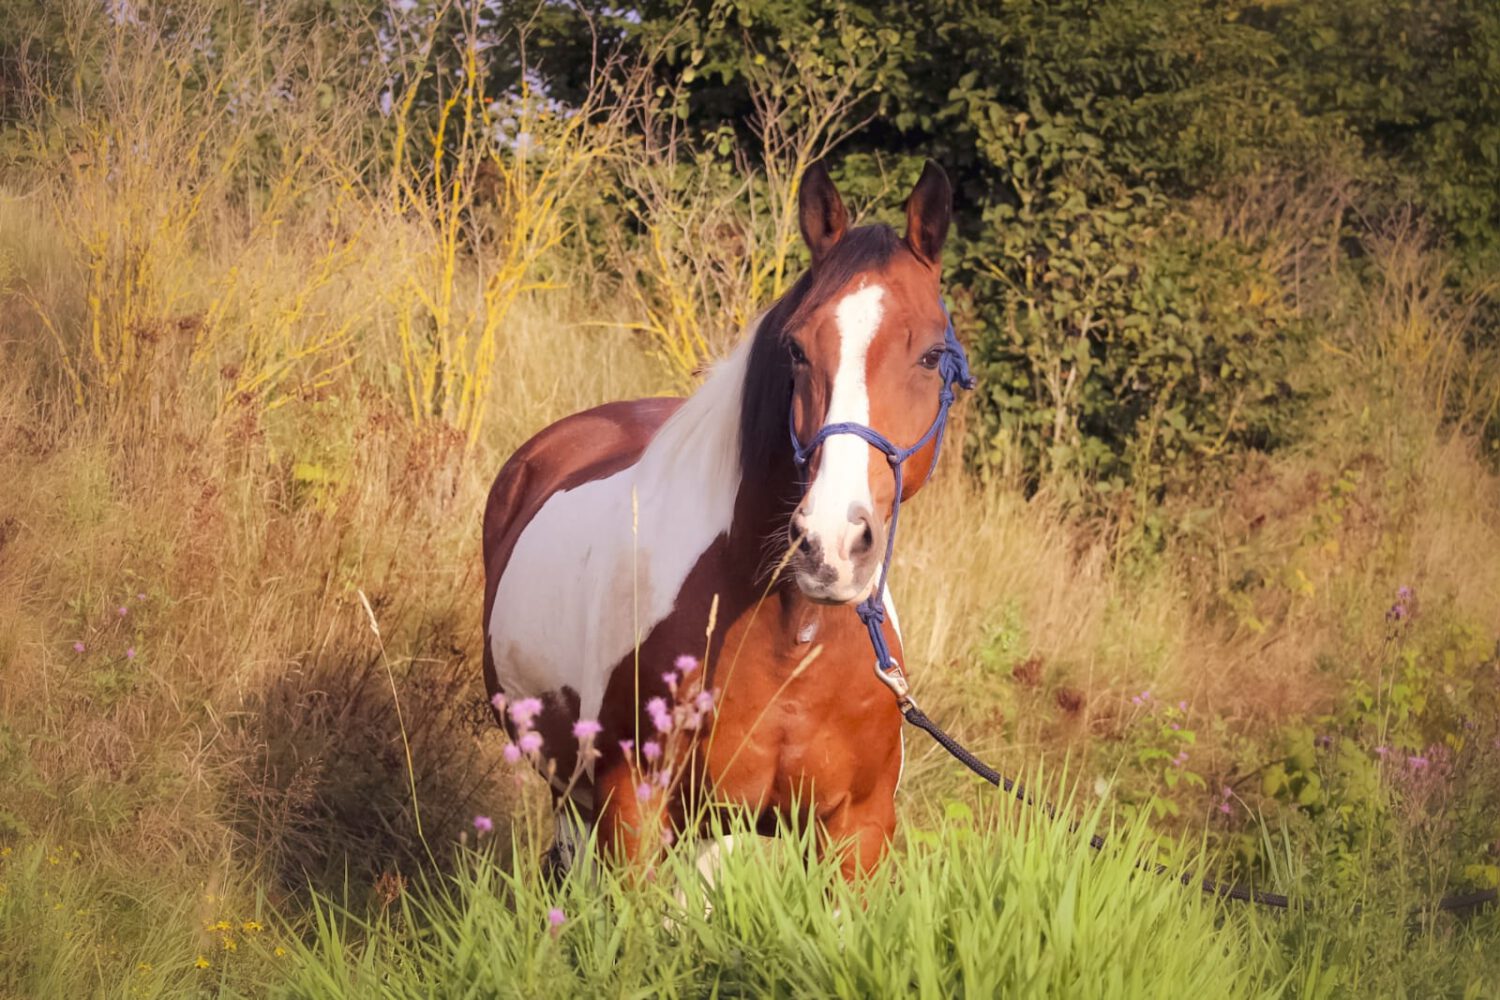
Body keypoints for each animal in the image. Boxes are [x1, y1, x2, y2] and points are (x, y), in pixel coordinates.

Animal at [486, 160, 966, 881]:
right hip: (574, 788)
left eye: (933, 355)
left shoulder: (857, 832)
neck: (791, 641)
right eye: (797, 348)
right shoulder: (633, 808)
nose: (829, 545)